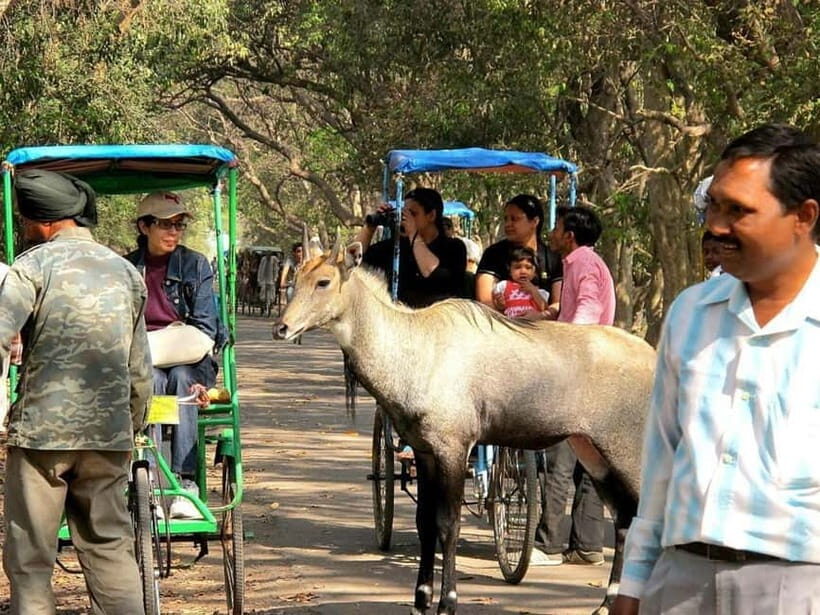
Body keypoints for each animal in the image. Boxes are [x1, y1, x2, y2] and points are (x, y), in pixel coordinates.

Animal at [273, 238, 656, 615]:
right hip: (592, 452)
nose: (282, 328)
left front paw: (448, 603)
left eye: (324, 282)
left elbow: (448, 524)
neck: (414, 349)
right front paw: (421, 601)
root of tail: (654, 355)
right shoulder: (425, 451)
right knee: (625, 519)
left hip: (626, 450)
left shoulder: (453, 448)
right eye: (297, 279)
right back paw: (607, 604)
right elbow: (425, 524)